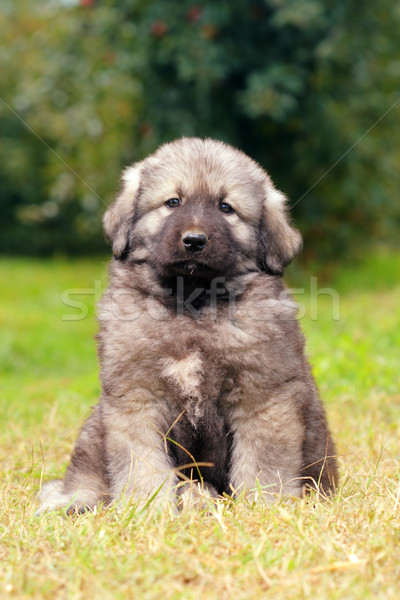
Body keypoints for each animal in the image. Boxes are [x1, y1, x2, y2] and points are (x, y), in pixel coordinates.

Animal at [36, 138, 338, 512]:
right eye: (172, 202)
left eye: (226, 207)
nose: (194, 240)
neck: (191, 304)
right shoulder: (136, 396)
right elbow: (140, 463)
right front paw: (146, 508)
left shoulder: (263, 396)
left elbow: (264, 464)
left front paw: (266, 505)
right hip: (97, 424)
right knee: (86, 474)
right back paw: (73, 501)